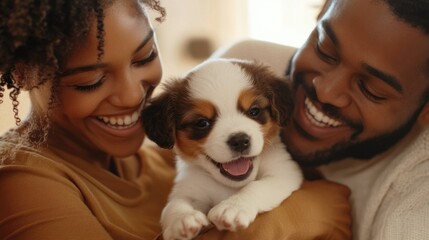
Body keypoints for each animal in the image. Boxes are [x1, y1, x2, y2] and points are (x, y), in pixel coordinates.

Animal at [142, 58, 302, 240]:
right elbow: (174, 203)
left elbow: (256, 186)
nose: (239, 140)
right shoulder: (190, 186)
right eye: (202, 123)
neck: (230, 185)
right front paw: (181, 219)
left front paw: (234, 206)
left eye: (254, 111)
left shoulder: (284, 172)